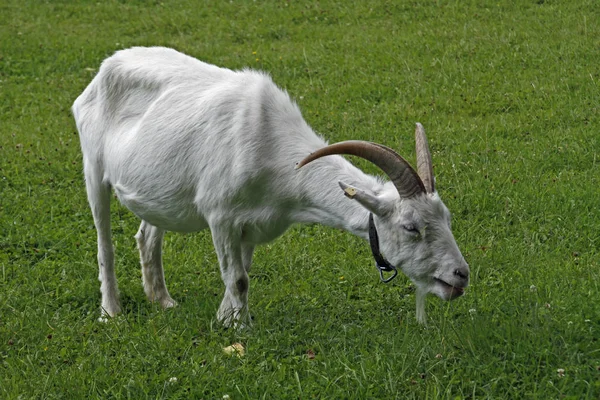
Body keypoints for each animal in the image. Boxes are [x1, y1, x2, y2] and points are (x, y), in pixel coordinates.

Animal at [72, 47, 468, 326]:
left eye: (447, 219)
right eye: (411, 227)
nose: (460, 275)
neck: (273, 146)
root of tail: (104, 68)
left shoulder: (249, 225)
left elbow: (240, 275)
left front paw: (226, 319)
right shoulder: (221, 217)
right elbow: (238, 279)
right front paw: (241, 331)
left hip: (157, 191)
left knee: (147, 235)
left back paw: (163, 301)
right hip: (93, 168)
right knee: (104, 244)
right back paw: (111, 311)